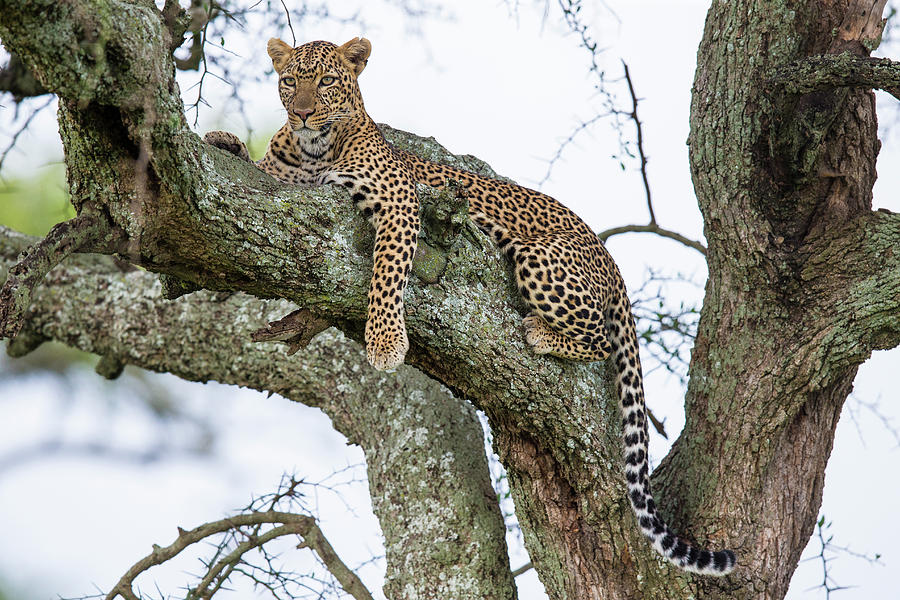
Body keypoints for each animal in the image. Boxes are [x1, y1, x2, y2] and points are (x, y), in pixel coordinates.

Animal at [206, 34, 740, 576]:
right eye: (290, 80)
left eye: (328, 81)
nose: (301, 112)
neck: (313, 151)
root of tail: (609, 257)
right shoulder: (286, 181)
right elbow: (260, 172)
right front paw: (224, 141)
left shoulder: (400, 203)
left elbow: (388, 272)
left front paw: (386, 342)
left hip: (539, 258)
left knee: (599, 338)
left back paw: (540, 332)